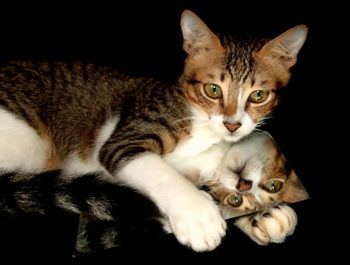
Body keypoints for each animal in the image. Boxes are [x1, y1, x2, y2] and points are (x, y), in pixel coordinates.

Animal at [0, 9, 306, 251]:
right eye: (213, 89)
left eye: (258, 96)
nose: (232, 124)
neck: (201, 121)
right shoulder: (124, 139)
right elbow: (161, 172)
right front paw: (198, 214)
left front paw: (263, 213)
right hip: (29, 143)